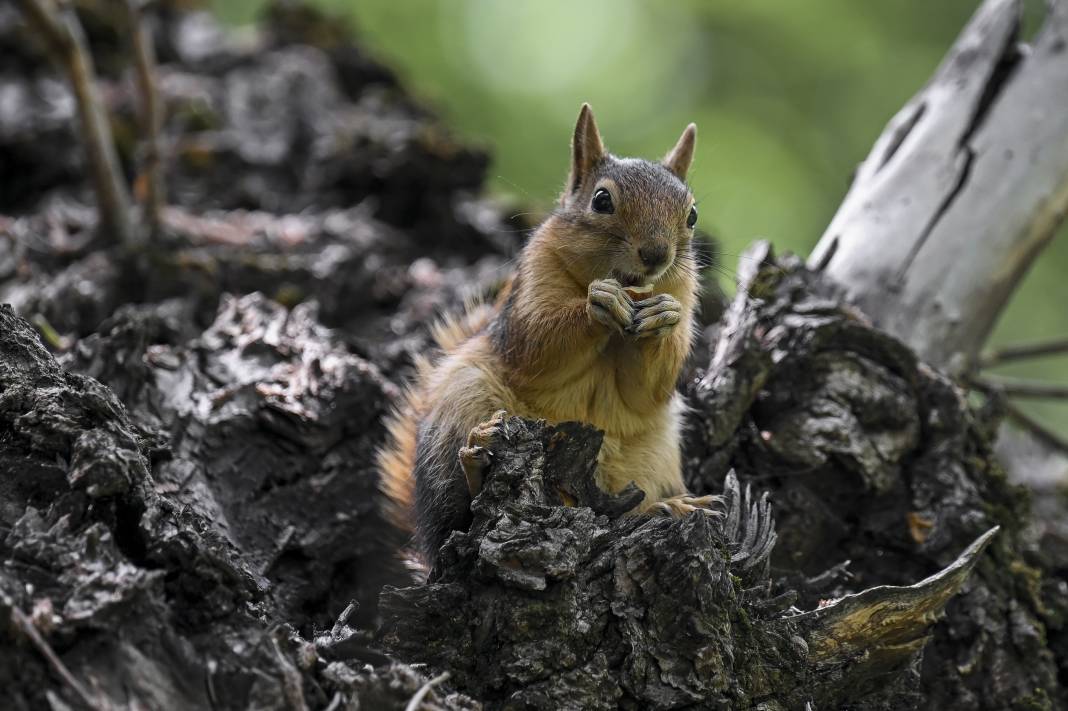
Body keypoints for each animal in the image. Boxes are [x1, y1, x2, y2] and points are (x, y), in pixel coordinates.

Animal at [378, 102, 717, 567]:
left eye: (693, 214)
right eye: (602, 200)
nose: (656, 254)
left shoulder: (683, 291)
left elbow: (646, 391)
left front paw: (662, 316)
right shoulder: (532, 290)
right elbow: (538, 345)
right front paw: (598, 305)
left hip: (655, 455)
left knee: (618, 509)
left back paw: (667, 505)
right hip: (462, 407)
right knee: (459, 517)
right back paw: (476, 467)